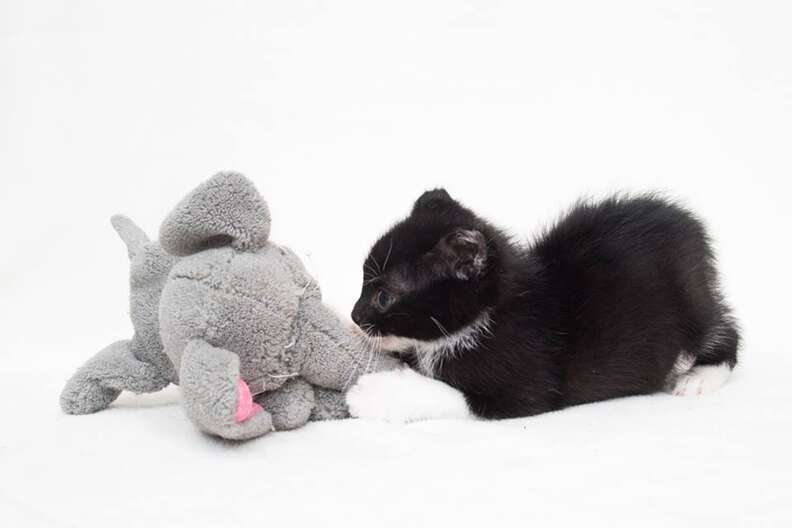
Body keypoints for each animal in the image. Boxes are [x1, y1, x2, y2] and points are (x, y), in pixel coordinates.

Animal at [348, 189, 744, 420]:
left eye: (383, 296)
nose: (354, 315)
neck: (486, 316)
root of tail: (690, 228)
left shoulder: (527, 384)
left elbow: (456, 397)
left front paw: (376, 396)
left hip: (689, 300)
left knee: (722, 329)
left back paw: (701, 376)